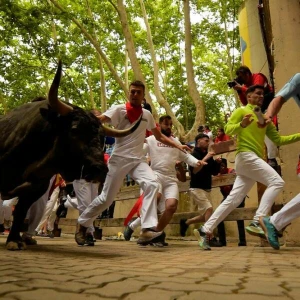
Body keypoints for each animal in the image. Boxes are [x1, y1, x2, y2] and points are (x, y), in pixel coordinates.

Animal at [0, 59, 142, 250]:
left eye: (102, 138)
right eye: (74, 129)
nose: (99, 169)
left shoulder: (35, 189)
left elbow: (21, 211)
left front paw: (15, 239)